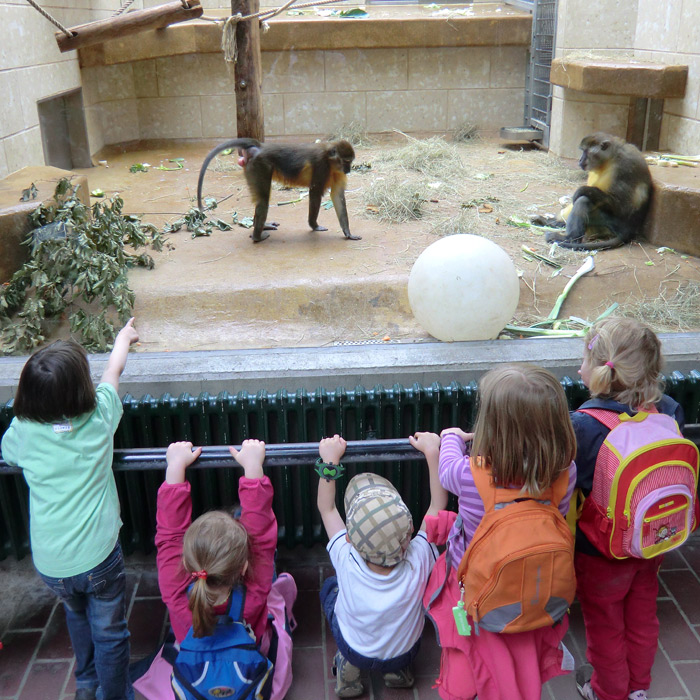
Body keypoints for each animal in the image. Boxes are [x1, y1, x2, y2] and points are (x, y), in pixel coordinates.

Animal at [197, 138, 360, 245]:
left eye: (350, 162)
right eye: (346, 161)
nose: (348, 169)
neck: (329, 159)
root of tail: (261, 147)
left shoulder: (337, 172)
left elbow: (337, 196)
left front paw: (348, 233)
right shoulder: (321, 165)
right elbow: (314, 193)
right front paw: (314, 225)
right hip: (260, 165)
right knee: (263, 199)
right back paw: (257, 237)